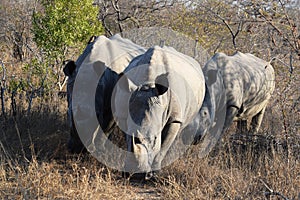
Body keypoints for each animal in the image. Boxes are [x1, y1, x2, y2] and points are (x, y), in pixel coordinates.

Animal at [112, 45, 206, 175]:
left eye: (156, 138)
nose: (137, 175)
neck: (148, 84)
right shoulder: (123, 114)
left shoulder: (174, 118)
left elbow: (162, 148)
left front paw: (155, 173)